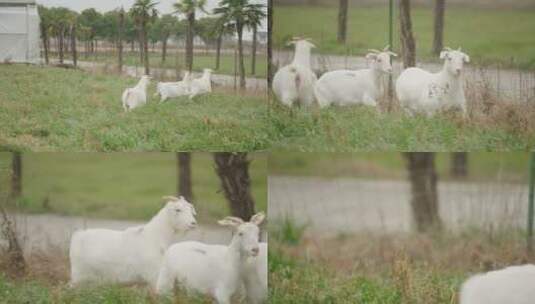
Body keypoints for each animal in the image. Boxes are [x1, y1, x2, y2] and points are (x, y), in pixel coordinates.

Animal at [69, 196, 197, 288]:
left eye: (190, 209)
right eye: (177, 210)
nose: (193, 223)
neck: (154, 236)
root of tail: (78, 235)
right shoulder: (154, 274)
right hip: (78, 275)